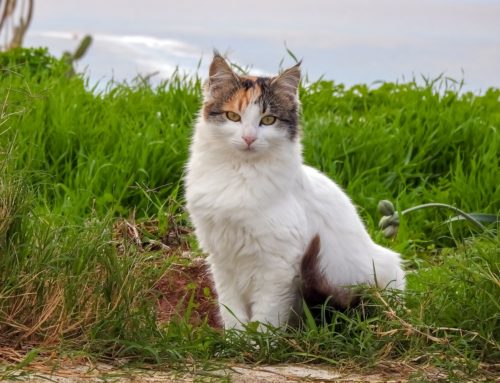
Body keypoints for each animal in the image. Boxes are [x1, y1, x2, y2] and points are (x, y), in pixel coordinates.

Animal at [186, 53, 404, 330]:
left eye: (268, 120)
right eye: (233, 116)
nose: (248, 138)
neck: (239, 174)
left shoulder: (277, 265)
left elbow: (265, 318)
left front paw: (256, 341)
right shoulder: (222, 259)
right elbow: (231, 312)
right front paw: (234, 338)